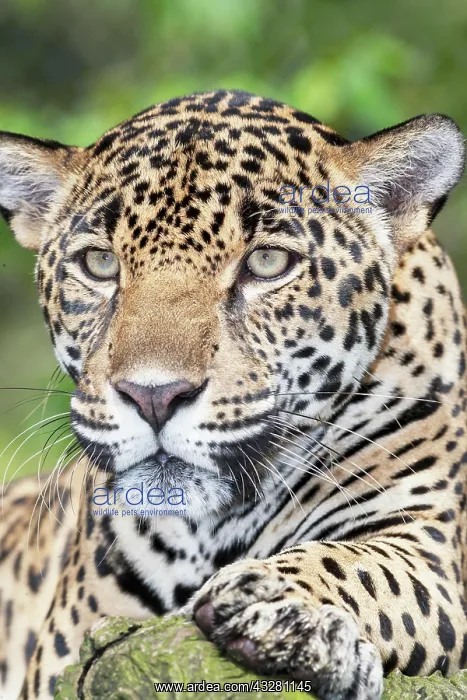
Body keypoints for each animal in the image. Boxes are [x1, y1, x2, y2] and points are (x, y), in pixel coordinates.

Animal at [0, 89, 466, 700]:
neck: (213, 530)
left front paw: (281, 608)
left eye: (267, 262)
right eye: (98, 264)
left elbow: (365, 566)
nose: (154, 396)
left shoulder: (429, 538)